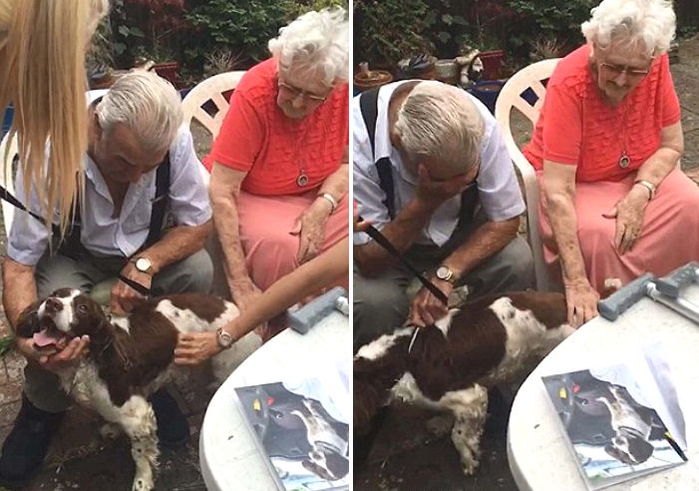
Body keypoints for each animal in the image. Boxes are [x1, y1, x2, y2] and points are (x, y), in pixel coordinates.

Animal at [16, 288, 262, 491]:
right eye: (55, 294)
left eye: (82, 308)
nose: (52, 304)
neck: (92, 356)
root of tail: (228, 304)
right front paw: (112, 428)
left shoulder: (138, 416)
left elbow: (140, 453)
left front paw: (142, 481)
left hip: (226, 362)